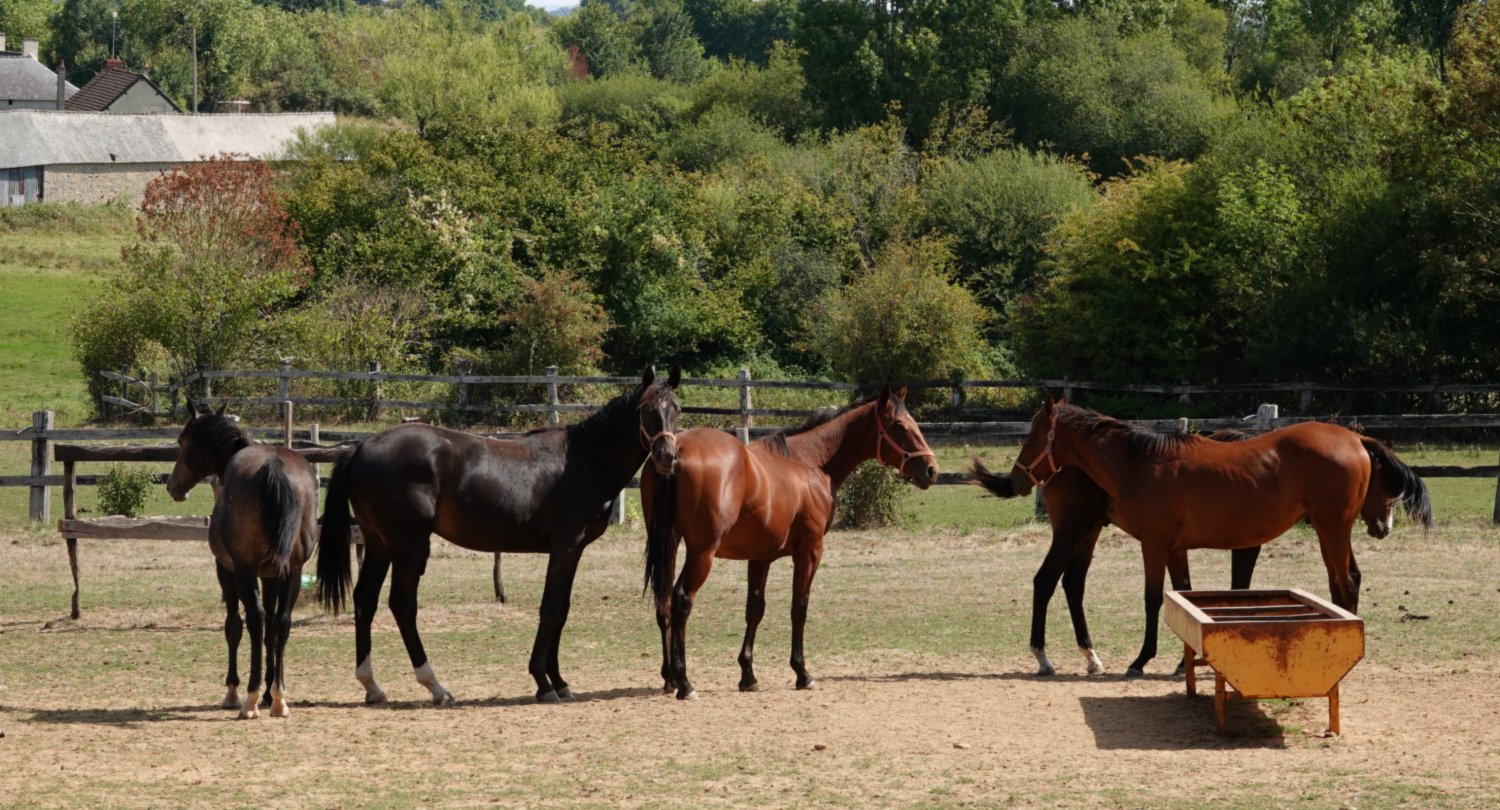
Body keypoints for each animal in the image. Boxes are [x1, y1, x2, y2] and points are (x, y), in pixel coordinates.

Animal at [167, 405, 320, 719]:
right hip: (292, 570)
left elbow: (234, 627)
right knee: (280, 621)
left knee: (255, 619)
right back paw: (278, 698)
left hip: (244, 572)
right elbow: (272, 628)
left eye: (181, 441)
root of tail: (274, 467)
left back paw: (249, 699)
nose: (173, 486)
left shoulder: (226, 570)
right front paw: (270, 690)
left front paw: (233, 691)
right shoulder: (272, 575)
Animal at [317, 366, 681, 704]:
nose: (667, 457)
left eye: (676, 409)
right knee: (403, 605)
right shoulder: (565, 547)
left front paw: (559, 681)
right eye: (647, 410)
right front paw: (543, 682)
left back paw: (372, 686)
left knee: (365, 600)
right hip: (409, 547)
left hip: (378, 544)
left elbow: (561, 611)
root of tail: (361, 446)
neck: (584, 461)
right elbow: (550, 609)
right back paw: (435, 687)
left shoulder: (573, 551)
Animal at [642, 385, 938, 700]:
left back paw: (670, 679)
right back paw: (685, 682)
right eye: (899, 426)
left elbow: (754, 609)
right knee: (681, 599)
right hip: (702, 552)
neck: (811, 461)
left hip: (669, 544)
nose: (931, 469)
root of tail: (676, 451)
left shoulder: (760, 557)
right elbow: (799, 608)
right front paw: (802, 673)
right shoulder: (809, 552)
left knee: (664, 601)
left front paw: (748, 675)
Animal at [971, 399, 1432, 676]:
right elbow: (1184, 597)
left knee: (1346, 581)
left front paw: (1143, 660)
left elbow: (1155, 600)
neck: (1142, 464)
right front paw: (1184, 662)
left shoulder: (1156, 545)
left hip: (1331, 528)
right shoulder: (1175, 548)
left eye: (1032, 436)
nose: (1017, 479)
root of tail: (1353, 437)